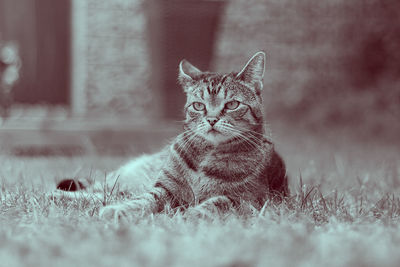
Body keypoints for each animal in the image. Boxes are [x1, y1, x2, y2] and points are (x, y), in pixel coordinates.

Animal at [55, 51, 288, 223]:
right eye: (198, 106)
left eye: (232, 104)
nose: (212, 119)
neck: (208, 157)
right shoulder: (165, 189)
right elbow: (144, 199)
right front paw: (120, 211)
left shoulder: (249, 200)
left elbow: (217, 202)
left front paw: (191, 214)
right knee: (101, 191)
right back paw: (59, 196)